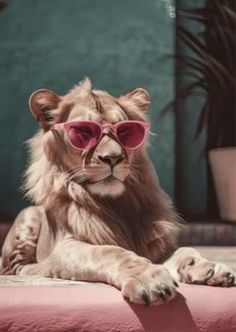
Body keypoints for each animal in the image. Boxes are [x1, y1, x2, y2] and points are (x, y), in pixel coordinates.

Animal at [0, 79, 235, 304]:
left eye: (125, 131)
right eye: (83, 131)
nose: (113, 158)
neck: (116, 203)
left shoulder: (155, 245)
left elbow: (184, 250)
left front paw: (210, 267)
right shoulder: (65, 246)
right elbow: (109, 252)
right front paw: (149, 279)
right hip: (28, 218)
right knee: (16, 267)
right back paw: (39, 268)